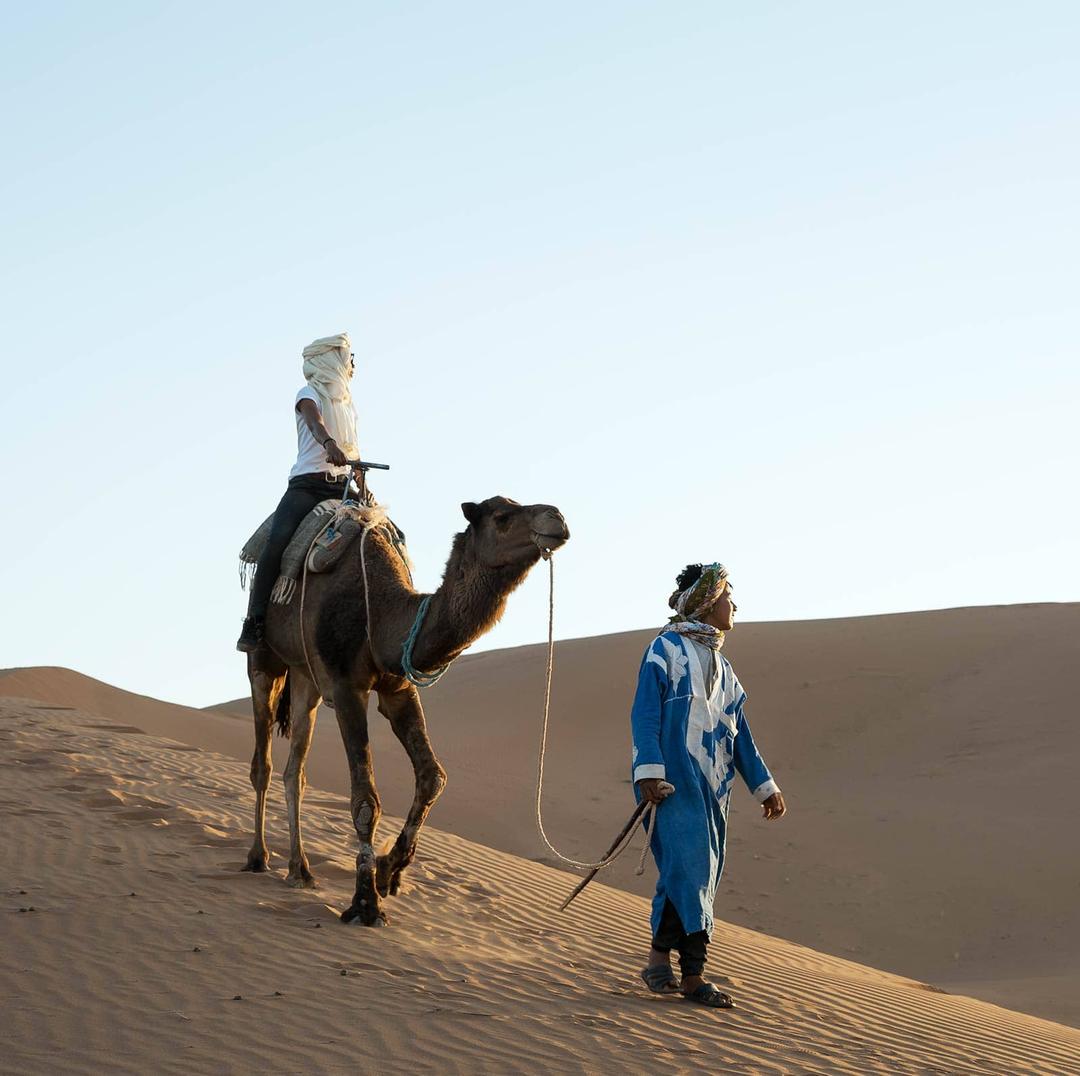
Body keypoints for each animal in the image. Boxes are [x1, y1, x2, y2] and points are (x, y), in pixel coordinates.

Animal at [241, 496, 570, 924]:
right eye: (502, 516)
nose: (557, 518)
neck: (380, 616)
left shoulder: (398, 689)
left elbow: (433, 777)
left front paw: (389, 870)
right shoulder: (347, 688)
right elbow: (365, 800)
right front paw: (365, 903)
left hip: (305, 678)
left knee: (295, 770)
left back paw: (301, 870)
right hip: (265, 662)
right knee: (262, 763)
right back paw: (258, 856)